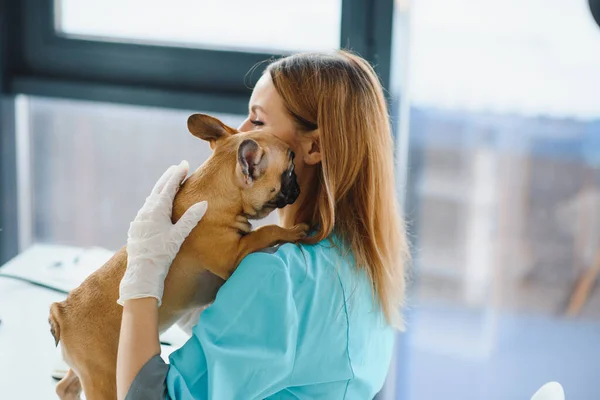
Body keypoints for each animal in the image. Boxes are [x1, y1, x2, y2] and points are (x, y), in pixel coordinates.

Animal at [49, 113, 310, 400]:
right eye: (290, 168)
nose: (298, 184)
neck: (214, 191)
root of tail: (61, 313)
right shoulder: (233, 255)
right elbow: (266, 231)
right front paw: (294, 230)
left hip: (90, 370)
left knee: (65, 385)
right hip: (103, 378)